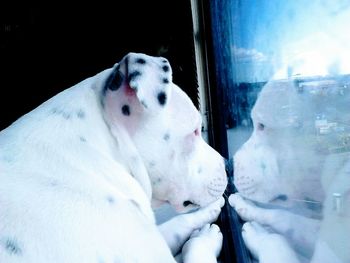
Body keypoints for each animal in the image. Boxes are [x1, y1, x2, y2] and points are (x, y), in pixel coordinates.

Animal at [228, 77, 350, 262]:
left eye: (262, 125)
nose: (228, 166)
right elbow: (288, 219)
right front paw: (246, 206)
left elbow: (279, 232)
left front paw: (262, 235)